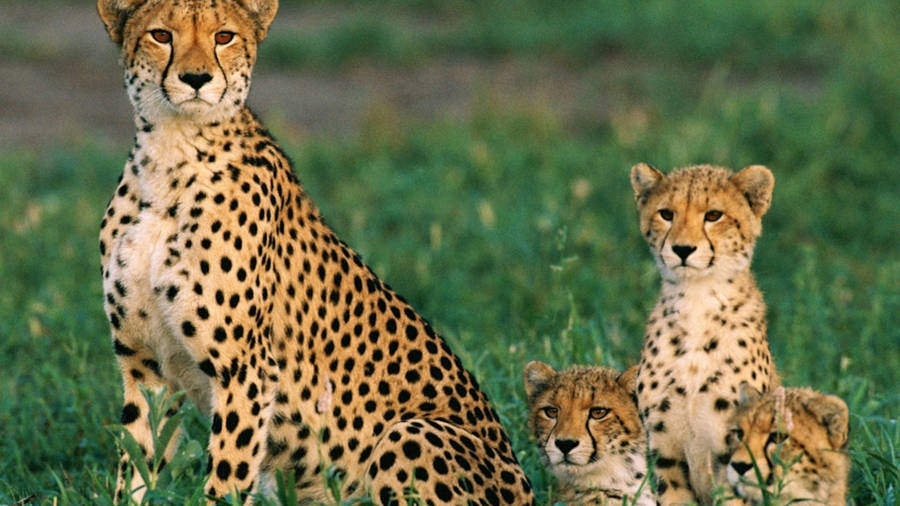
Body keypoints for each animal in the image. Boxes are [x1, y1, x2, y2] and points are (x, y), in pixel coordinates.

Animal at [96, 0, 534, 503]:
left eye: (224, 36)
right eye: (161, 35)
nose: (196, 78)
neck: (171, 155)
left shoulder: (245, 372)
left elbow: (225, 478)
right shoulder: (144, 366)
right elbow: (136, 464)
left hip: (410, 433)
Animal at [629, 163, 779, 505]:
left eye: (713, 215)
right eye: (666, 214)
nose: (683, 249)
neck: (697, 301)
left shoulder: (733, 455)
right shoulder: (666, 454)